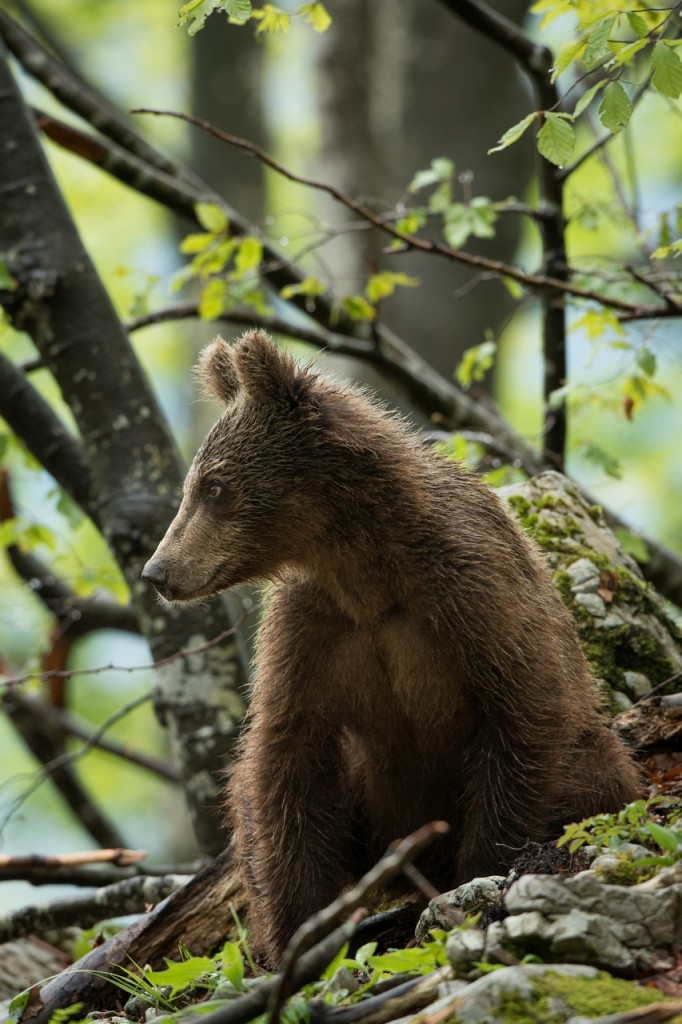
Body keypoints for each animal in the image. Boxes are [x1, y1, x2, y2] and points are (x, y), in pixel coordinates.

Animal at [142, 329, 641, 968]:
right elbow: (284, 758)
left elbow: (524, 713)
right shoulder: (312, 631)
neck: (365, 570)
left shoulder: (474, 599)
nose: (158, 571)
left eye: (216, 486)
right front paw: (298, 932)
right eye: (195, 483)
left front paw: (485, 873)